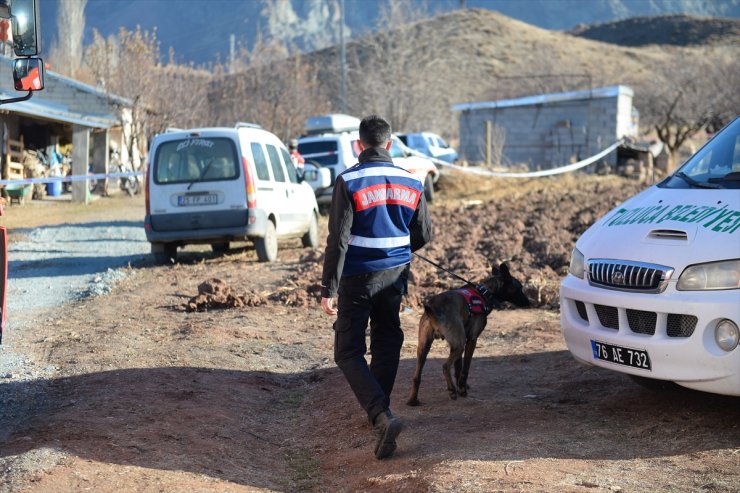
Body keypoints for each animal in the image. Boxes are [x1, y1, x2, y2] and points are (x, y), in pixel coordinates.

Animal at [404, 264, 532, 406]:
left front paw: (461, 386)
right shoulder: (471, 339)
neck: (485, 292)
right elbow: (465, 368)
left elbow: (458, 368)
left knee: (417, 376)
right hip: (458, 345)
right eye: (520, 287)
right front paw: (462, 389)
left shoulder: (458, 342)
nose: (529, 303)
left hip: (423, 348)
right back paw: (452, 390)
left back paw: (413, 400)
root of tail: (433, 308)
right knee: (445, 366)